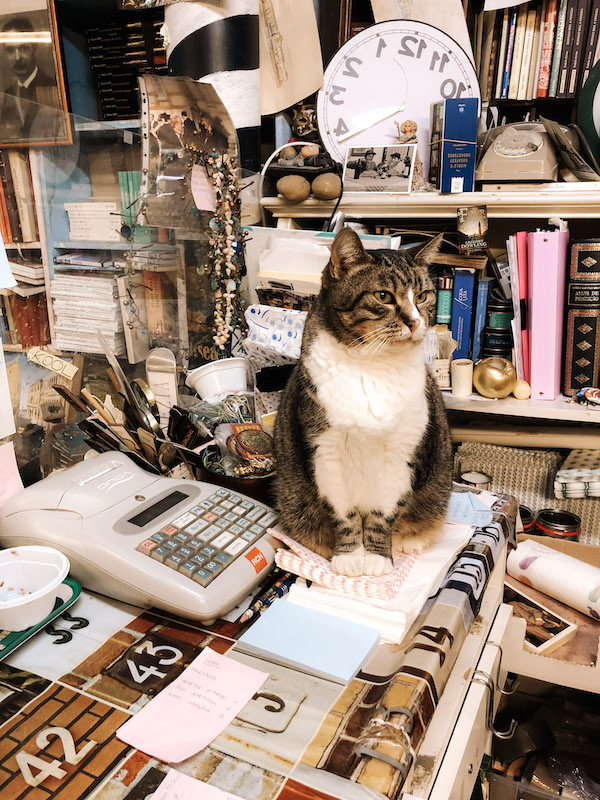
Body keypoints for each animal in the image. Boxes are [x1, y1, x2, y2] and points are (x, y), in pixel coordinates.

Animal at [272, 228, 450, 580]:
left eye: (423, 296)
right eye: (383, 296)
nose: (414, 322)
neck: (373, 366)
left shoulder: (401, 457)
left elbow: (382, 518)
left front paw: (379, 558)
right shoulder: (325, 454)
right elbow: (345, 517)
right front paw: (350, 557)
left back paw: (408, 542)